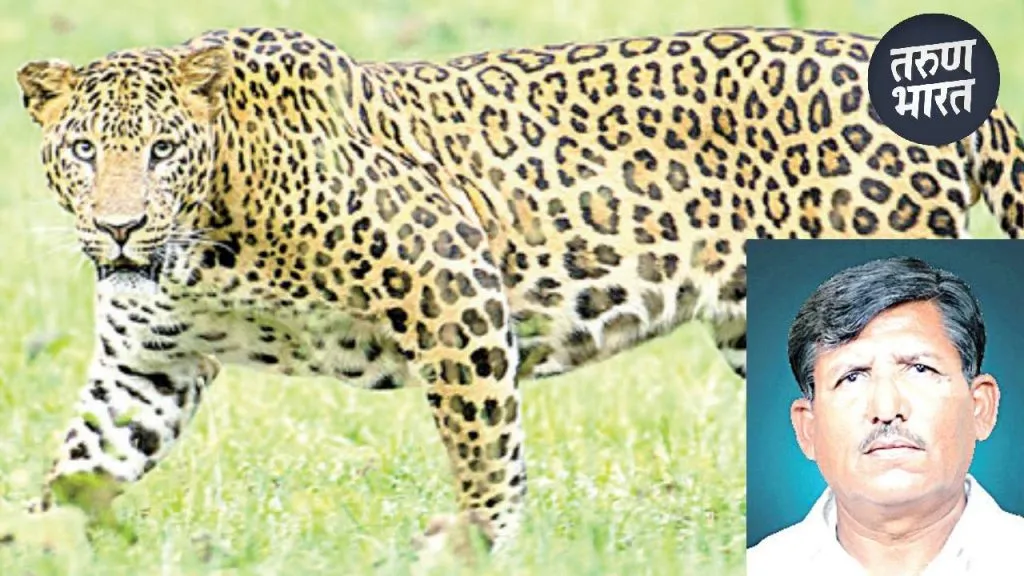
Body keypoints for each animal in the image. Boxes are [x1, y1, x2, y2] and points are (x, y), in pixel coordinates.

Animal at [13, 24, 1024, 559]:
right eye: (83, 151)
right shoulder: (147, 368)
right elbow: (82, 465)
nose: (119, 228)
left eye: (162, 151)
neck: (206, 242)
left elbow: (482, 448)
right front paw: (32, 547)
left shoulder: (451, 282)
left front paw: (476, 547)